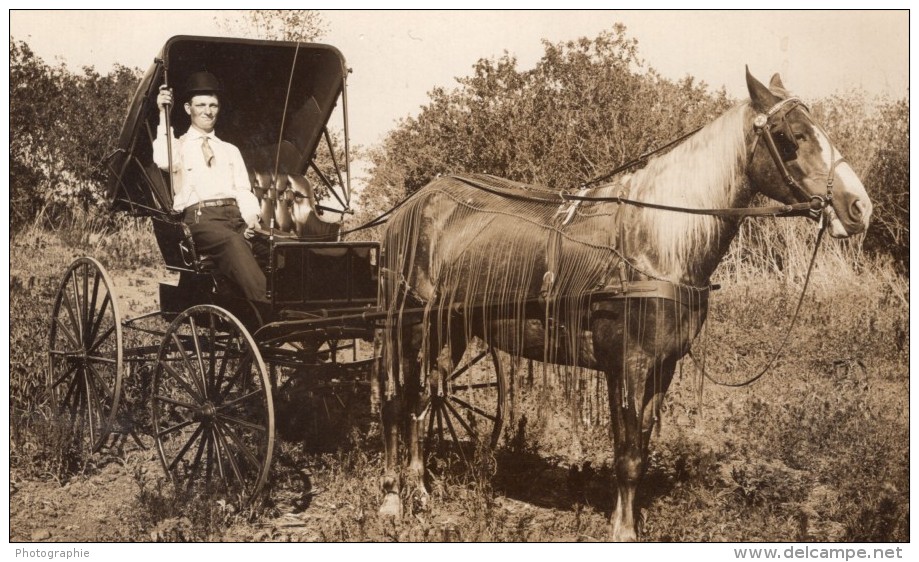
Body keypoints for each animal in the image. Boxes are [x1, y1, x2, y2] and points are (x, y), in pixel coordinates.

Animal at [372, 69, 868, 540]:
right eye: (792, 136)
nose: (859, 207)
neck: (655, 247)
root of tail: (415, 203)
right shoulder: (626, 364)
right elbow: (625, 453)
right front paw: (623, 530)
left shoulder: (662, 367)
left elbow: (642, 447)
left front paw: (631, 521)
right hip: (408, 327)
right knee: (397, 402)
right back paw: (393, 499)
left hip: (448, 330)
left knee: (425, 398)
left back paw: (419, 489)